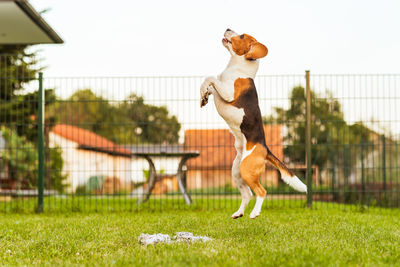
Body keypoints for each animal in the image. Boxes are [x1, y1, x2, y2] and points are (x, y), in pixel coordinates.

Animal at [200, 28, 306, 220]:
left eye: (242, 36)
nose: (227, 28)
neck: (236, 66)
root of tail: (265, 147)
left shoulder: (227, 93)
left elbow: (210, 77)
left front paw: (205, 89)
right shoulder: (220, 89)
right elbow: (210, 85)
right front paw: (203, 96)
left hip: (247, 170)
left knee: (261, 192)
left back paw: (255, 212)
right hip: (237, 172)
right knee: (248, 194)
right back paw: (239, 213)